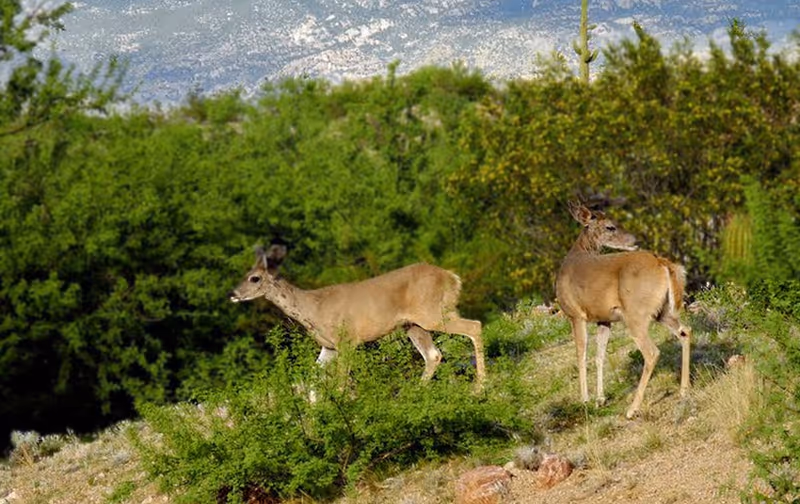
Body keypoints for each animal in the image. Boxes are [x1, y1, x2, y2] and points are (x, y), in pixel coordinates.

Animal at [229, 244, 486, 389]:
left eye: (254, 278)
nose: (233, 294)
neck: (313, 308)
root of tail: (452, 278)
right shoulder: (328, 347)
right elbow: (313, 377)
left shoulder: (347, 340)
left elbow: (341, 381)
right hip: (414, 324)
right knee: (434, 355)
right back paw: (415, 392)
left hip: (432, 313)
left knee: (474, 326)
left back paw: (480, 387)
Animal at [555, 202, 691, 419]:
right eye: (611, 226)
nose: (635, 240)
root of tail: (663, 264)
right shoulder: (604, 318)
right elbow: (599, 356)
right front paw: (599, 400)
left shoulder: (575, 314)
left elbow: (581, 355)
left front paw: (584, 401)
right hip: (662, 311)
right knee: (685, 331)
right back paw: (684, 390)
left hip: (635, 314)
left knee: (652, 352)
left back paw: (632, 409)